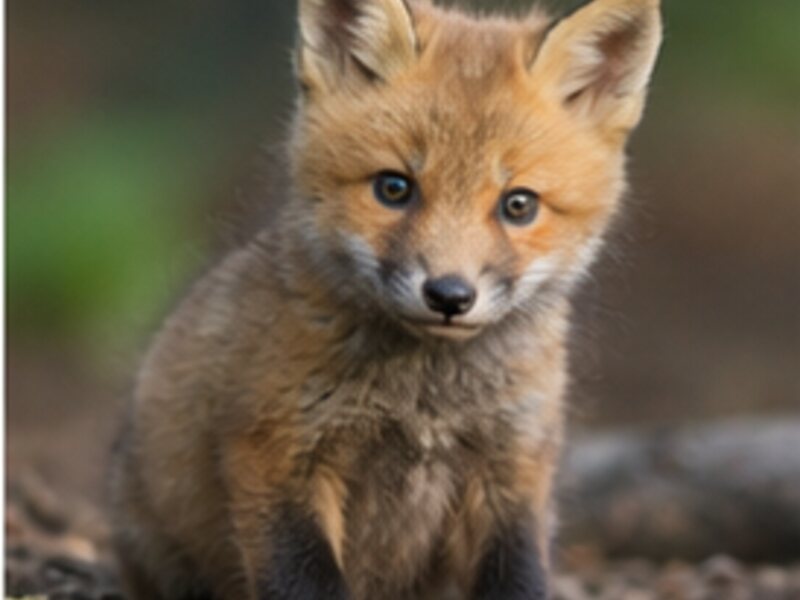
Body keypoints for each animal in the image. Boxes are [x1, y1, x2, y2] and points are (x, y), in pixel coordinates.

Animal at [110, 0, 662, 598]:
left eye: (518, 205)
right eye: (394, 188)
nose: (449, 294)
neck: (427, 400)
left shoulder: (513, 465)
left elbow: (518, 574)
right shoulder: (277, 451)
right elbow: (304, 581)